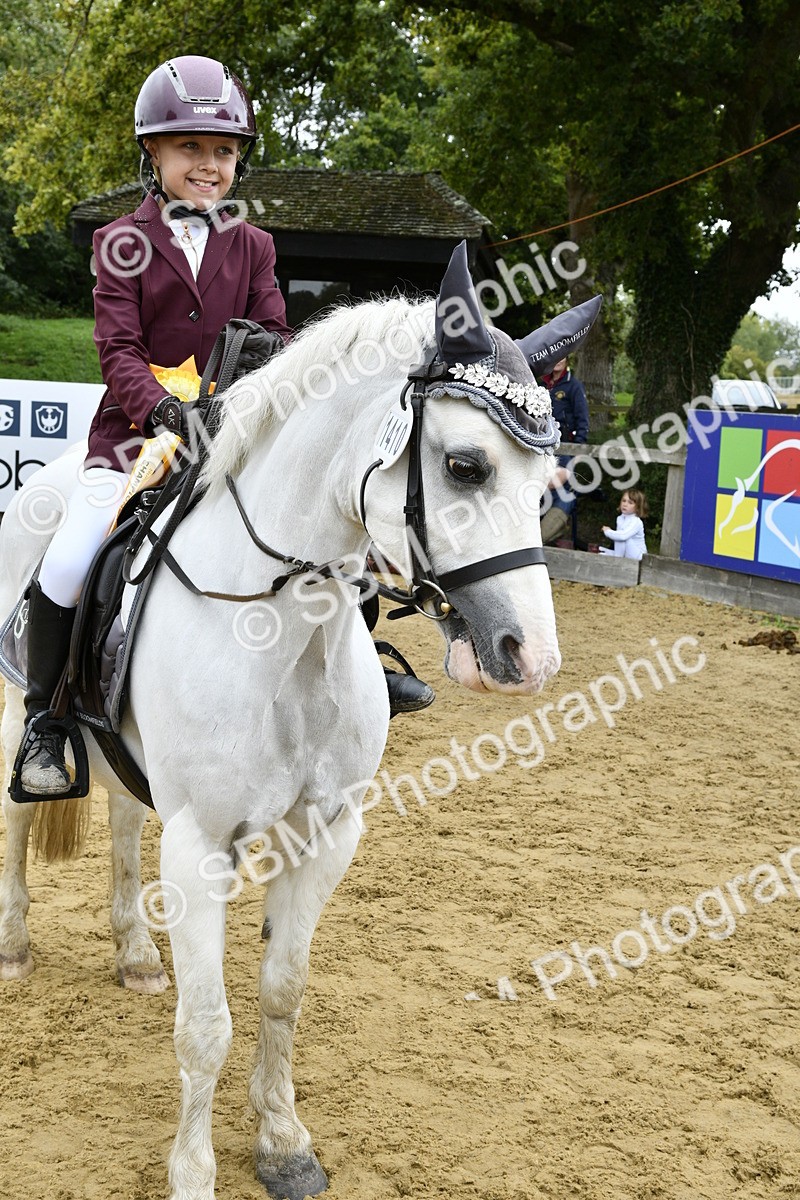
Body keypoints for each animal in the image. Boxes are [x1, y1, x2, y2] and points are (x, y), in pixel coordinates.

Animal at [0, 248, 586, 1200]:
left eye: (548, 481)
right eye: (465, 466)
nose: (529, 657)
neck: (286, 631)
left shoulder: (327, 833)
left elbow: (282, 990)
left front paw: (281, 1142)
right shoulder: (201, 843)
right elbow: (207, 1026)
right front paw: (193, 1173)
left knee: (123, 821)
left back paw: (135, 954)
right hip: (18, 708)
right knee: (17, 814)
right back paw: (15, 942)